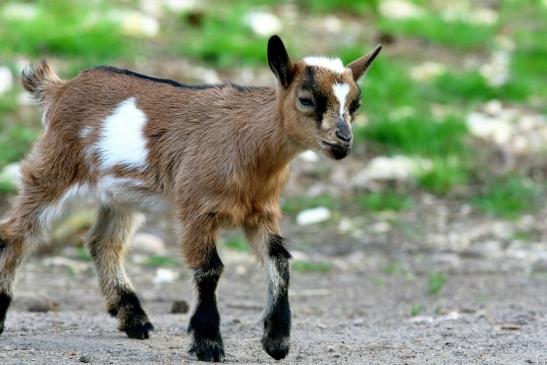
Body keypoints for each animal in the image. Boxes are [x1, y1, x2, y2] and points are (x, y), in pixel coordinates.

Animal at [0, 35, 382, 360]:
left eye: (355, 105)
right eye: (306, 100)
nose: (343, 140)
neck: (248, 145)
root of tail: (60, 88)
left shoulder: (262, 212)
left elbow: (280, 261)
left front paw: (276, 341)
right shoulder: (197, 208)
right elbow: (209, 268)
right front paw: (208, 343)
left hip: (122, 194)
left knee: (103, 243)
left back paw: (135, 319)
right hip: (55, 171)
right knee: (15, 233)